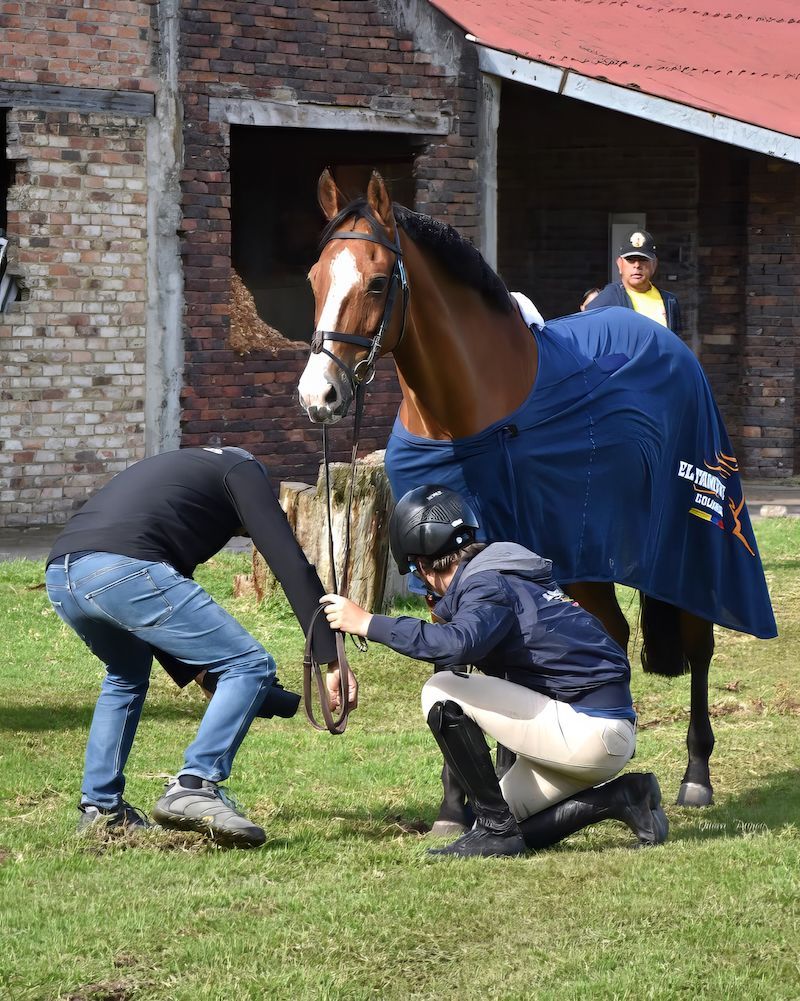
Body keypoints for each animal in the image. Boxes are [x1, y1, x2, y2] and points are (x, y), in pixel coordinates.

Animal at [297, 169, 777, 826]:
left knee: (699, 643)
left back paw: (695, 774)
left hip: (689, 543)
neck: (469, 413)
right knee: (610, 633)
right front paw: (457, 802)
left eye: (374, 281)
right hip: (589, 557)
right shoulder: (443, 576)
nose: (318, 395)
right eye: (314, 278)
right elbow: (456, 661)